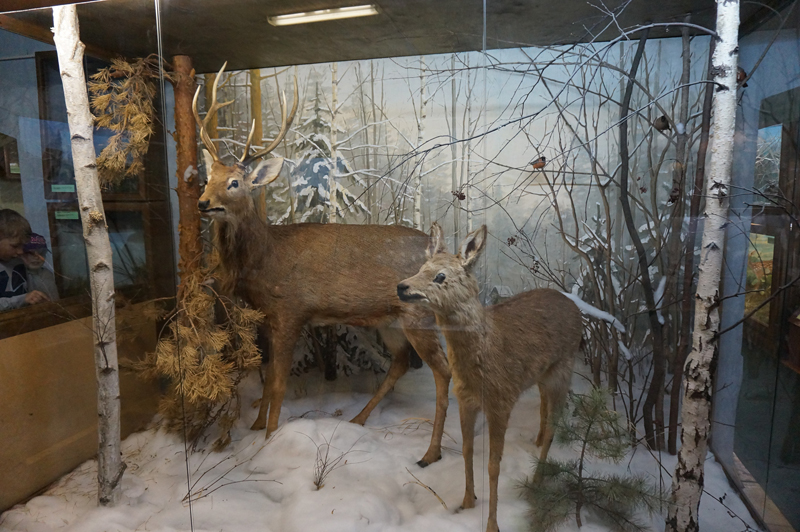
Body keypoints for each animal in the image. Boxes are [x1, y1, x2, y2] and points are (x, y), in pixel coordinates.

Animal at [193, 64, 451, 467]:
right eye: (208, 178)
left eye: (234, 183)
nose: (204, 203)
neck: (265, 260)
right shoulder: (269, 316)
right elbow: (266, 374)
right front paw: (255, 426)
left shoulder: (291, 310)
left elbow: (279, 381)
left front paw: (269, 437)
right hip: (391, 320)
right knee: (400, 362)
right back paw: (359, 419)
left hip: (419, 314)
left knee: (444, 371)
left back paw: (430, 452)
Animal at [397, 223, 583, 532]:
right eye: (421, 267)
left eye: (440, 275)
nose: (402, 286)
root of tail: (576, 309)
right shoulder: (465, 401)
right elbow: (467, 450)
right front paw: (467, 502)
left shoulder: (500, 403)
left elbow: (493, 464)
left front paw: (492, 523)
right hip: (543, 376)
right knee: (544, 412)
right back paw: (535, 445)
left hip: (564, 368)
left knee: (554, 424)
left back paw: (537, 479)